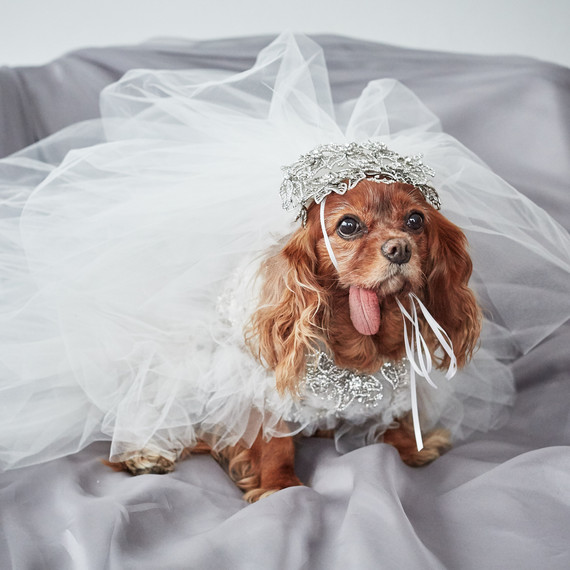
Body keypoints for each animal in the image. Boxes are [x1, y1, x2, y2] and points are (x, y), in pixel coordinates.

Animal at [107, 176, 480, 496]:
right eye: (348, 226)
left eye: (415, 220)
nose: (400, 249)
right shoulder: (258, 389)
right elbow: (275, 442)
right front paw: (280, 484)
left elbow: (397, 417)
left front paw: (411, 447)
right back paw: (146, 453)